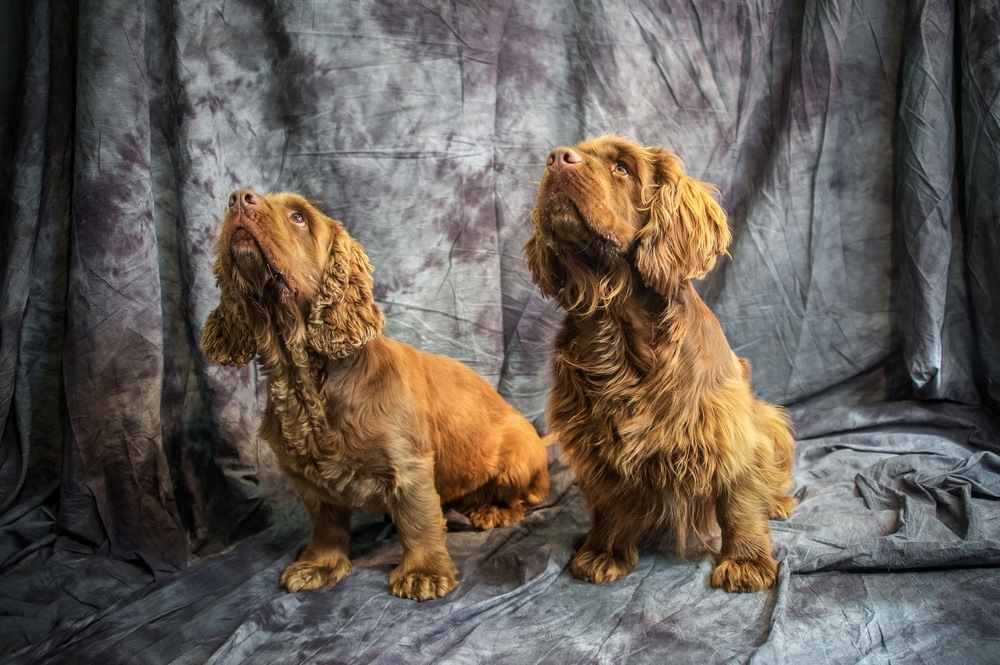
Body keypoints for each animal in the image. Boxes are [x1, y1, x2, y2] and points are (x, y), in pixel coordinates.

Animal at [201, 189, 548, 600]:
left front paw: (424, 573)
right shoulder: (309, 480)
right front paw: (319, 566)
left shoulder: (409, 465)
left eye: (299, 217)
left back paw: (494, 510)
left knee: (525, 499)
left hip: (517, 459)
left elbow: (417, 521)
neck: (305, 380)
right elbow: (326, 526)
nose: (238, 199)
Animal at [524, 136, 796, 592]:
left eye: (622, 167)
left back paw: (775, 501)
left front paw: (745, 561)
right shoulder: (598, 440)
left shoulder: (732, 431)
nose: (557, 158)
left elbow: (739, 500)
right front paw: (605, 552)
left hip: (770, 420)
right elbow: (612, 503)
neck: (616, 330)